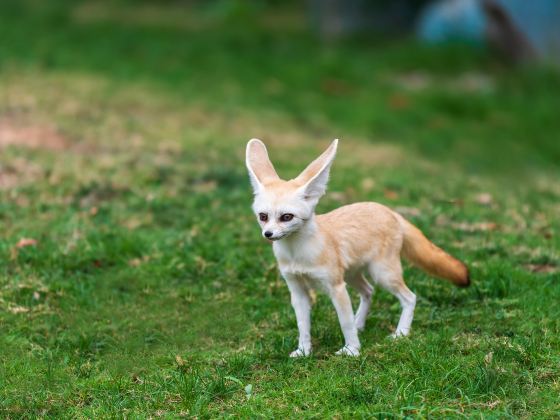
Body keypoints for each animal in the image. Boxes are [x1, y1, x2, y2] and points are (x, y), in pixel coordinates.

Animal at [245, 139, 468, 356]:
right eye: (263, 216)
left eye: (286, 217)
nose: (268, 234)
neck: (296, 254)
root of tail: (390, 211)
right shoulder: (297, 290)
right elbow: (303, 326)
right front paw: (303, 351)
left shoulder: (336, 287)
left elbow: (345, 323)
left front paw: (352, 350)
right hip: (353, 275)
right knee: (369, 291)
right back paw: (360, 323)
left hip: (383, 275)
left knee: (410, 297)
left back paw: (401, 333)